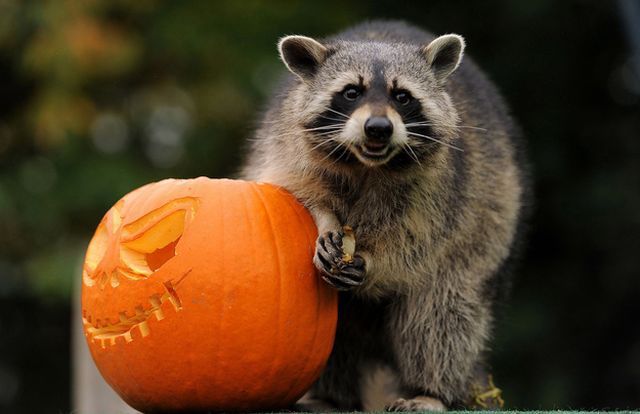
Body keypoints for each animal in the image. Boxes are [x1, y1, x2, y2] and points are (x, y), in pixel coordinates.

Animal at [240, 21, 528, 412]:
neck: (367, 165)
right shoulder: (284, 147)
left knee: (444, 311)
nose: (378, 127)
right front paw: (324, 219)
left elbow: (418, 239)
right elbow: (292, 190)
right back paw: (332, 396)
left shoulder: (446, 184)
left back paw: (431, 389)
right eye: (351, 92)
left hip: (488, 236)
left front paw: (375, 259)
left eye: (402, 97)